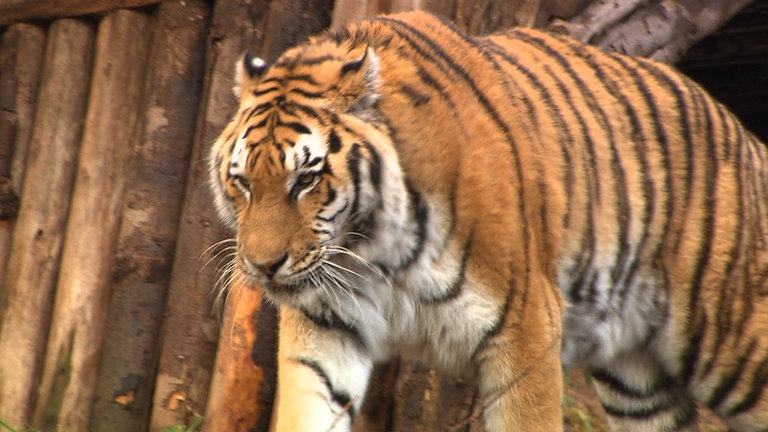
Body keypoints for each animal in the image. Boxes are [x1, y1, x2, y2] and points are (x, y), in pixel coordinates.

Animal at [208, 9, 768, 432]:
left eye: (305, 180)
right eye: (243, 182)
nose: (263, 266)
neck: (372, 252)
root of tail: (743, 134)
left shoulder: (527, 331)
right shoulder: (326, 330)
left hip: (731, 342)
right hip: (639, 383)